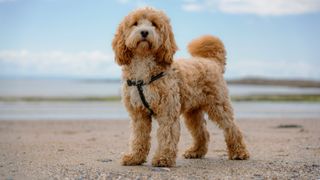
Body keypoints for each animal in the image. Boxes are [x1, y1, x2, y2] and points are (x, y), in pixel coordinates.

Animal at [112, 7, 250, 167]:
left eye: (154, 24)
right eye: (135, 23)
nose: (144, 32)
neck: (144, 62)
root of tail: (212, 61)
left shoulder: (167, 110)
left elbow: (167, 134)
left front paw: (163, 158)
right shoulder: (138, 114)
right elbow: (139, 137)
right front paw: (135, 157)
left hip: (219, 106)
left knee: (232, 128)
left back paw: (239, 152)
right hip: (193, 112)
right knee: (202, 132)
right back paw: (195, 152)